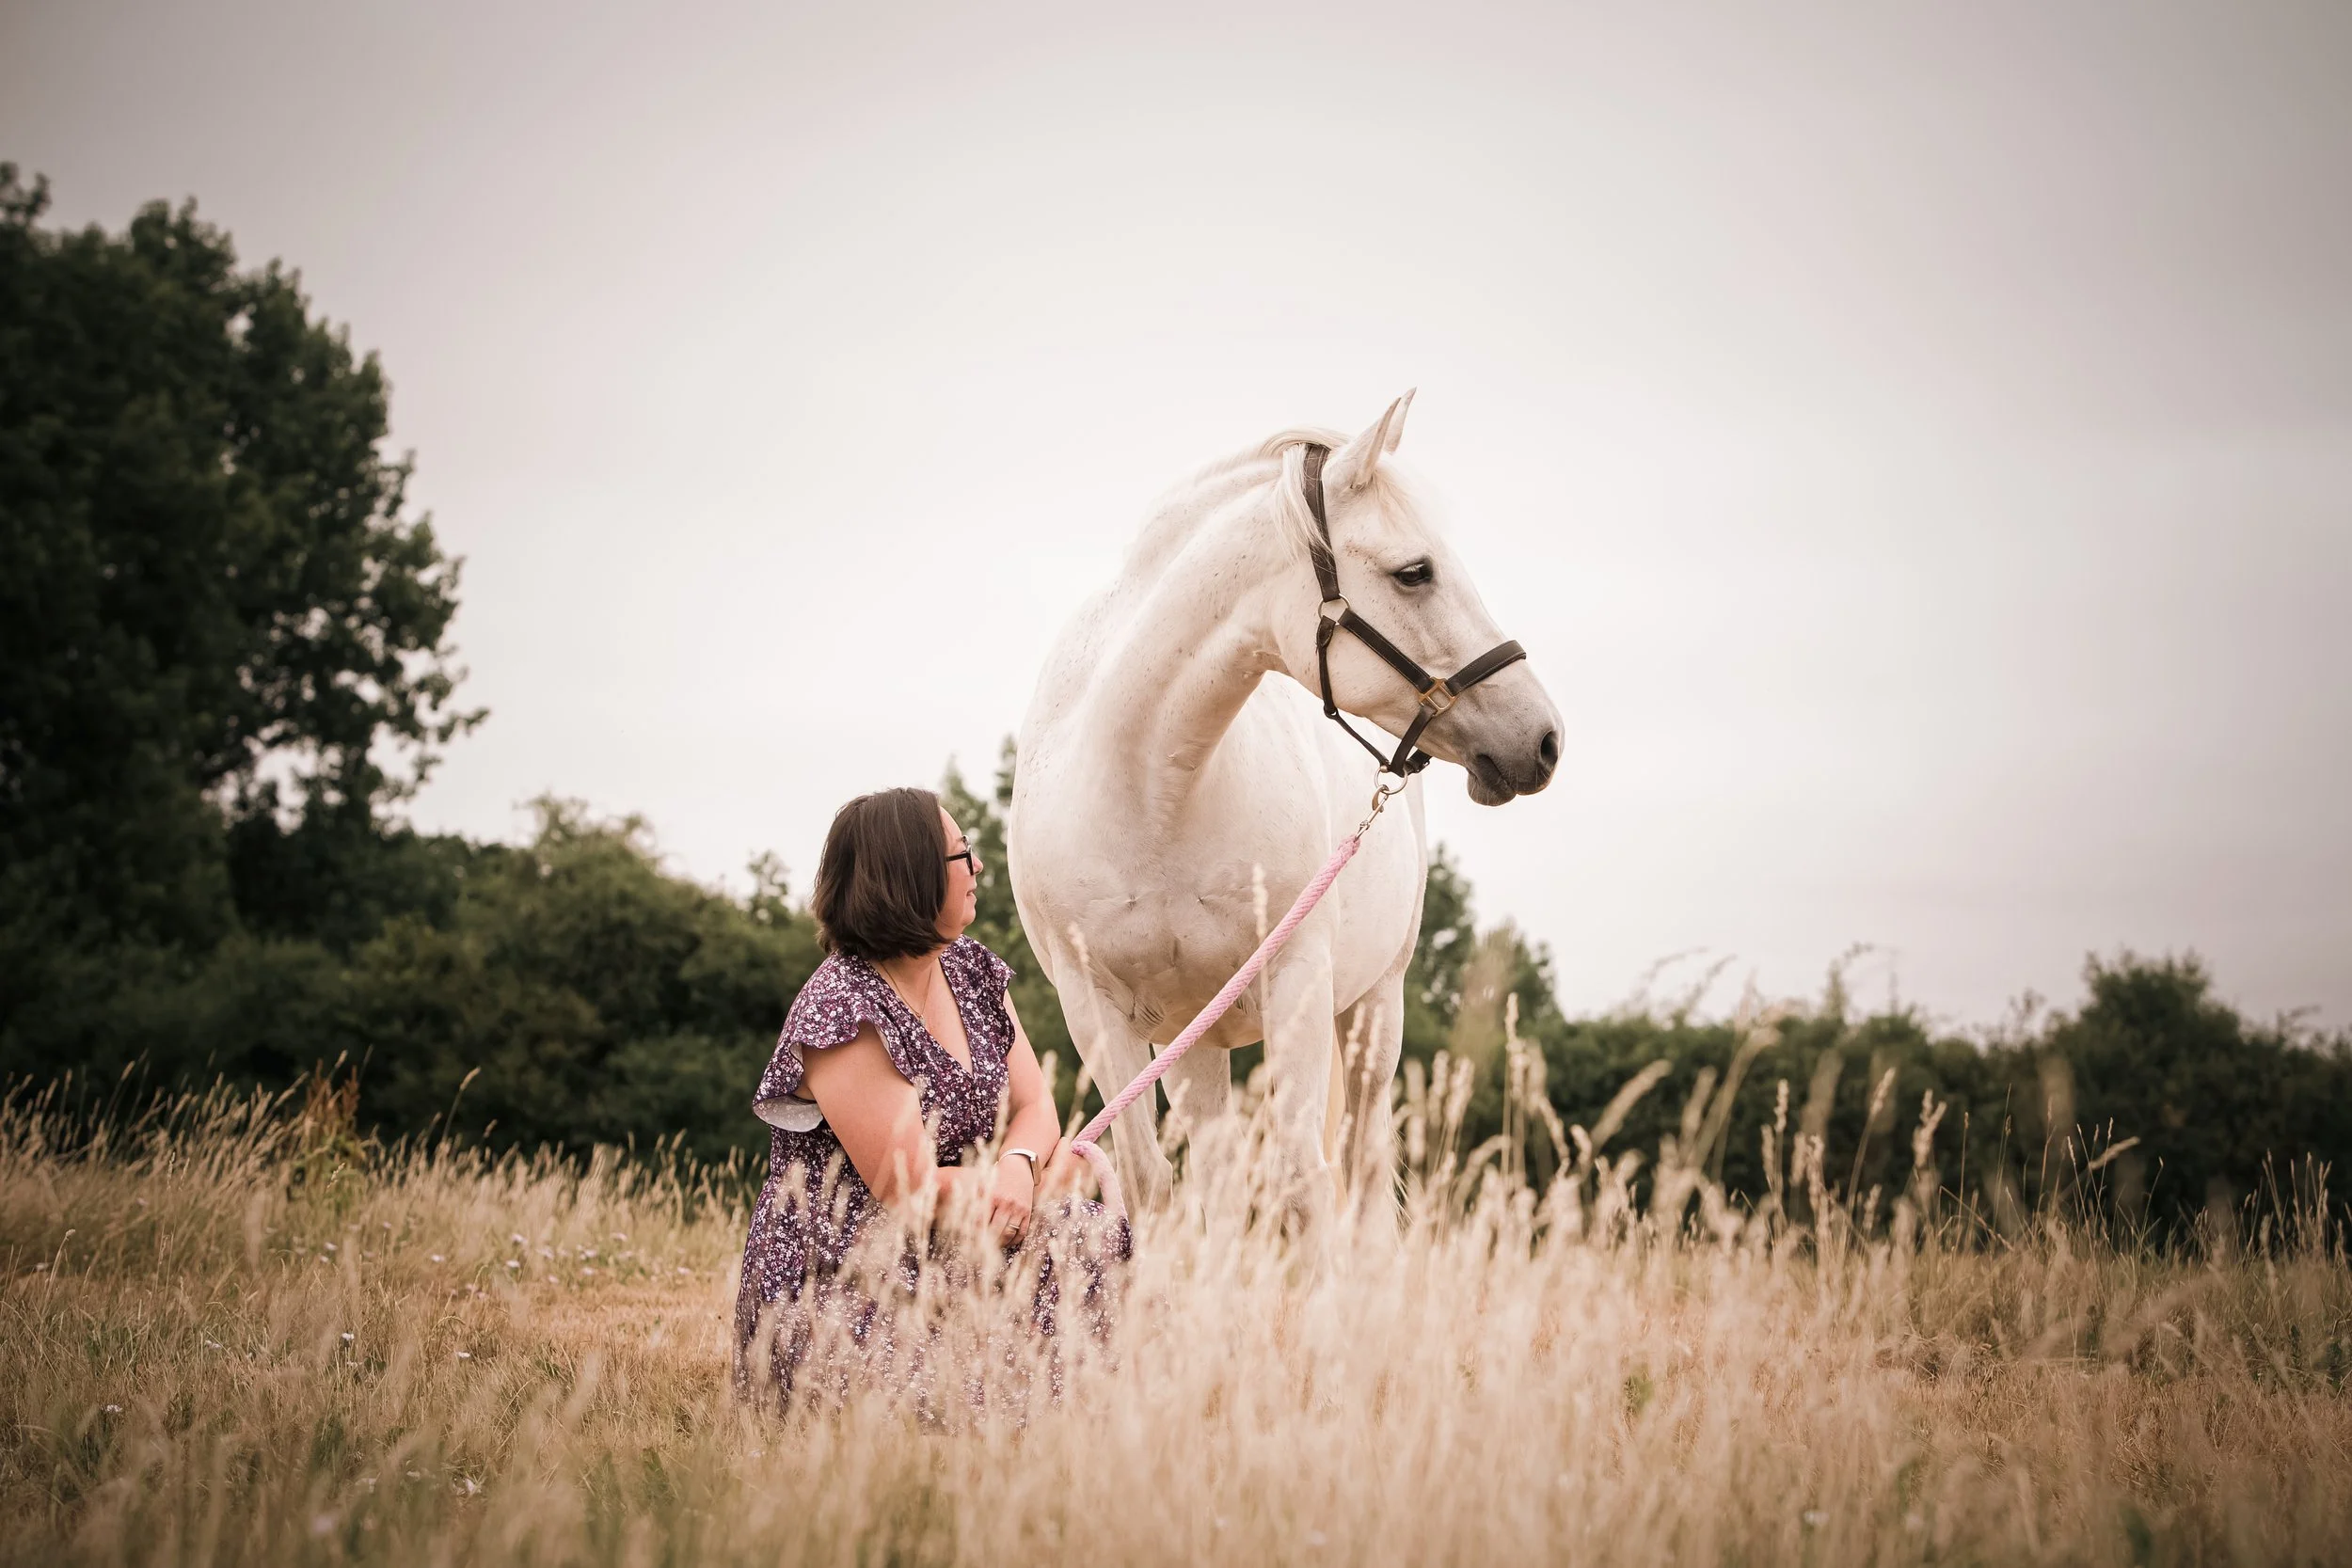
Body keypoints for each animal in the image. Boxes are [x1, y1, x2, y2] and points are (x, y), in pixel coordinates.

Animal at [1007, 394, 1562, 1216]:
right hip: (1195, 1044)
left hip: (1374, 1013)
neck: (1150, 792)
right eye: (1415, 572)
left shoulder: (1297, 983)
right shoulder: (1095, 1009)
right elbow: (1146, 1179)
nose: (1545, 738)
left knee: (1362, 1172)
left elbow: (1305, 1173)